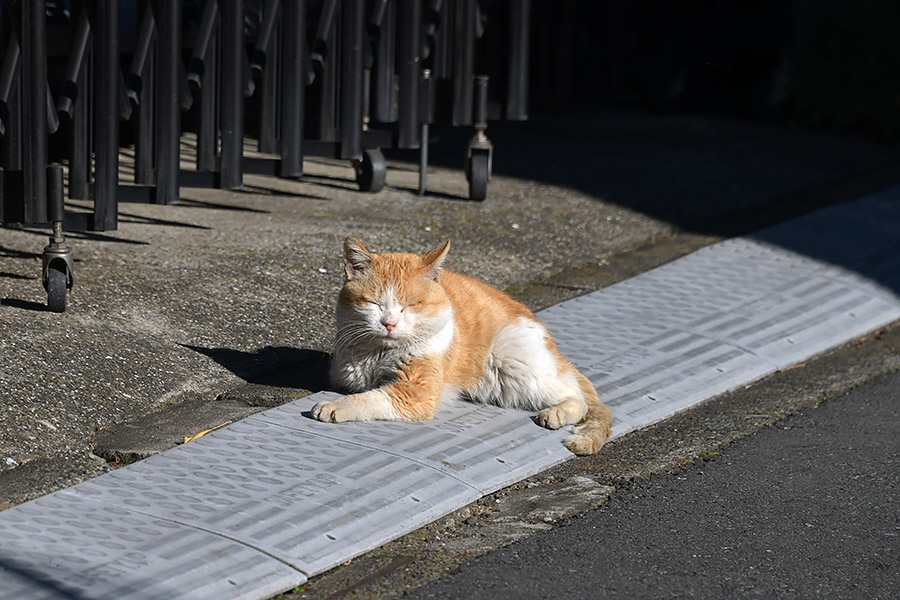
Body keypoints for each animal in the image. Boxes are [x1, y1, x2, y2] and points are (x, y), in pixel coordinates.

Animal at [312, 239, 616, 454]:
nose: (389, 323)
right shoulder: (346, 374)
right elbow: (362, 391)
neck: (378, 354)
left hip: (514, 365)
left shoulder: (415, 393)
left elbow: (368, 398)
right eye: (373, 303)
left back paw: (557, 413)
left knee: (577, 397)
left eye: (411, 304)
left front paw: (334, 406)